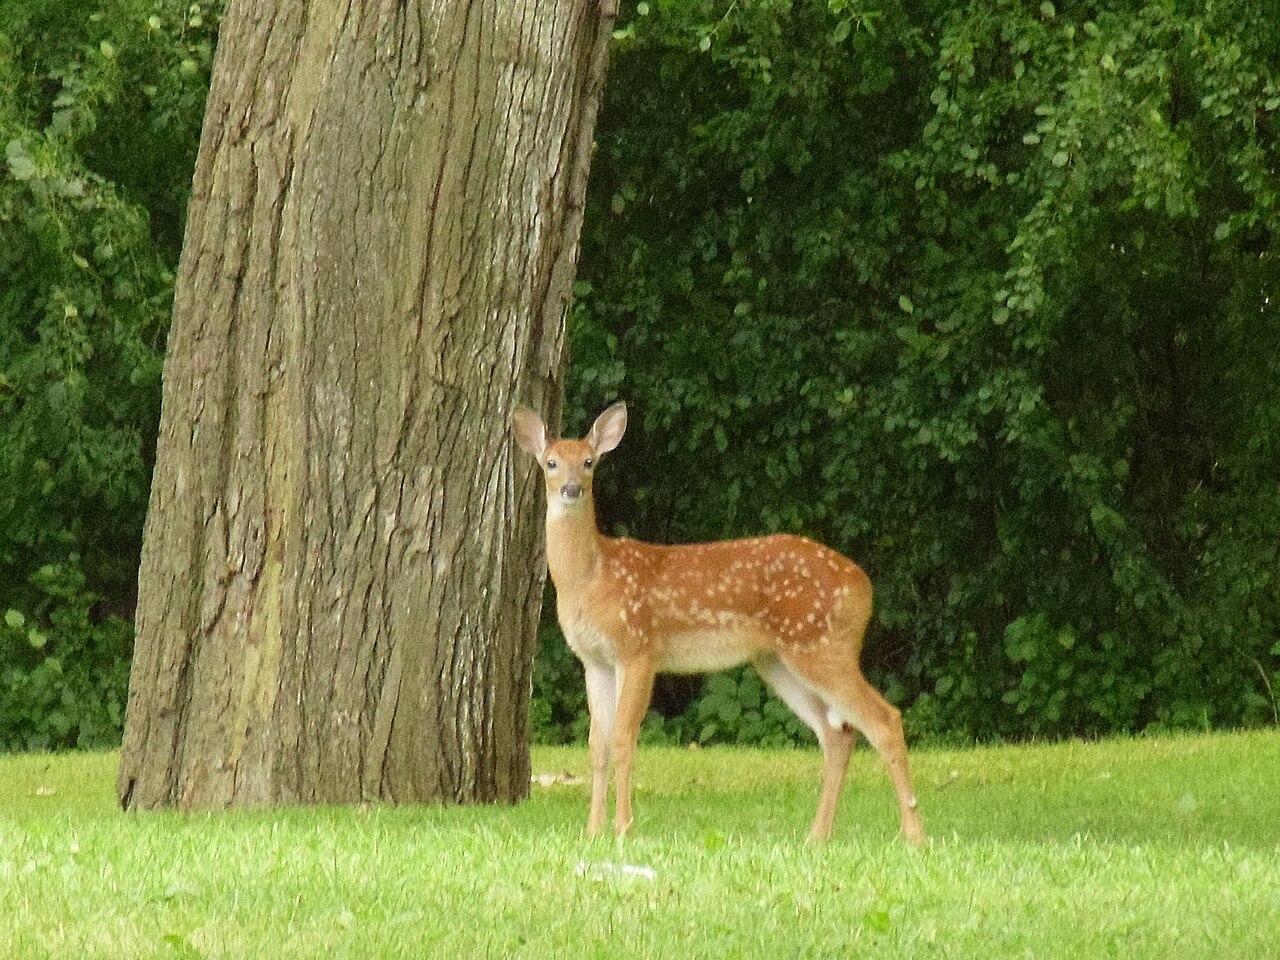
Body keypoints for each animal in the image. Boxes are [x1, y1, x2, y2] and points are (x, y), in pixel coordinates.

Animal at [512, 401, 925, 845]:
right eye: (551, 463)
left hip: (821, 644)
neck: (591, 579)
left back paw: (913, 835)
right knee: (838, 735)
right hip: (779, 660)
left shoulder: (638, 647)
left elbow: (623, 740)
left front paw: (622, 830)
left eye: (589, 462)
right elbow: (596, 747)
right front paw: (592, 832)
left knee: (884, 720)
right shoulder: (594, 661)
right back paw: (816, 836)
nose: (572, 489)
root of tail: (864, 586)